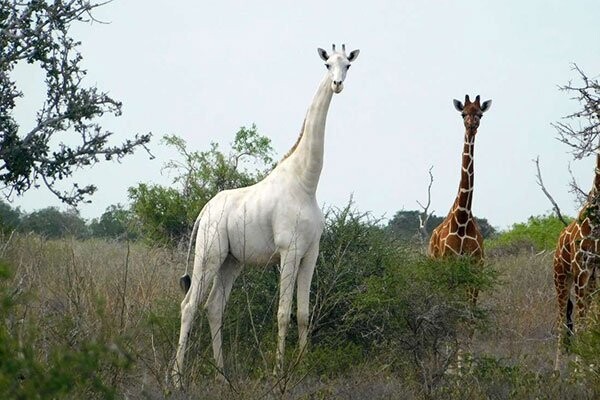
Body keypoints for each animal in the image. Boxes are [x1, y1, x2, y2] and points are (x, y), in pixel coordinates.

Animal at [173, 43, 360, 384]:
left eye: (348, 65)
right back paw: (176, 379)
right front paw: (278, 374)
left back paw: (223, 376)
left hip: (231, 261)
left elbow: (303, 313)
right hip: (209, 253)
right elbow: (283, 313)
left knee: (214, 307)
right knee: (189, 305)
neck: (306, 183)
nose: (337, 84)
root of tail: (204, 211)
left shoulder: (311, 253)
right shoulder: (289, 250)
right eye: (327, 64)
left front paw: (304, 368)